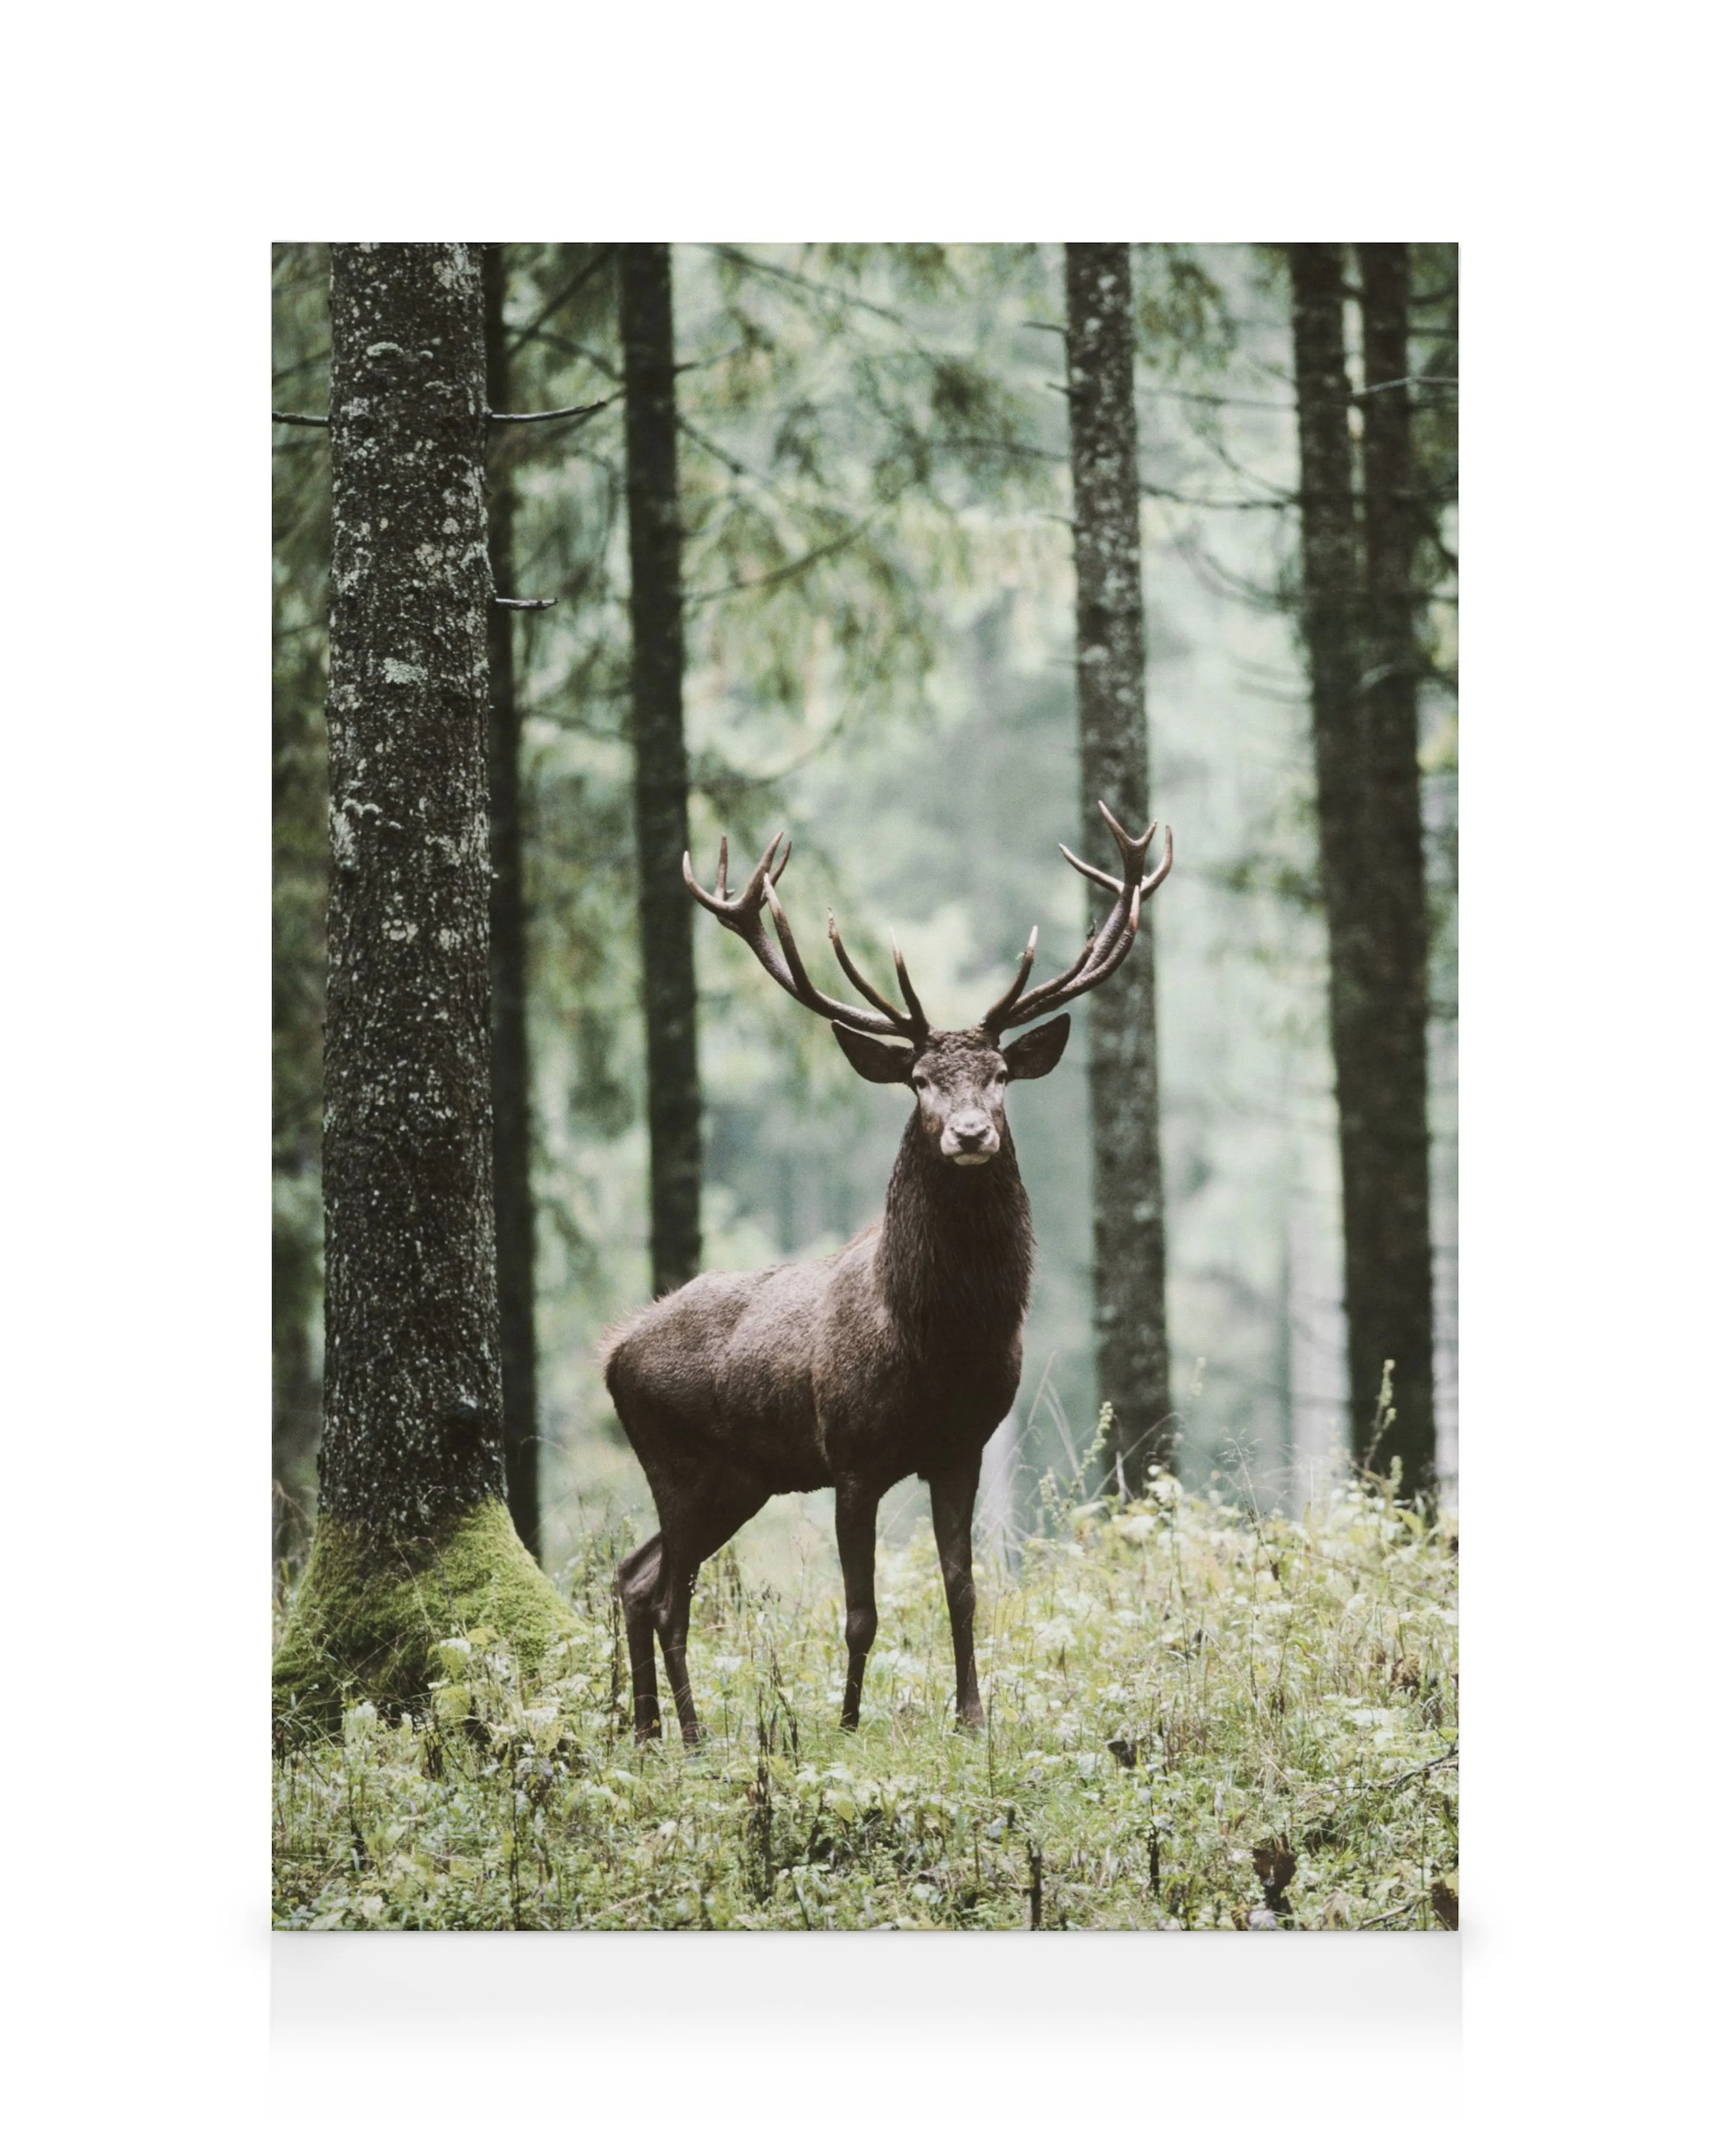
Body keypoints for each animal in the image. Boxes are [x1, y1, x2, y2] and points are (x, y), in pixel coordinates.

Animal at [602, 802, 1173, 1744]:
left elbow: (963, 1589)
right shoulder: (854, 1456)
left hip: (739, 1479)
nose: (972, 1133)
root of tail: (611, 1352)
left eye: (1002, 1074)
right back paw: (688, 1736)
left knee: (634, 1578)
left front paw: (972, 1717)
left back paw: (648, 1733)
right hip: (677, 1461)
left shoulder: (963, 1448)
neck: (937, 1345)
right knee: (668, 1594)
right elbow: (859, 1611)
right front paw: (846, 1723)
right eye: (918, 1080)